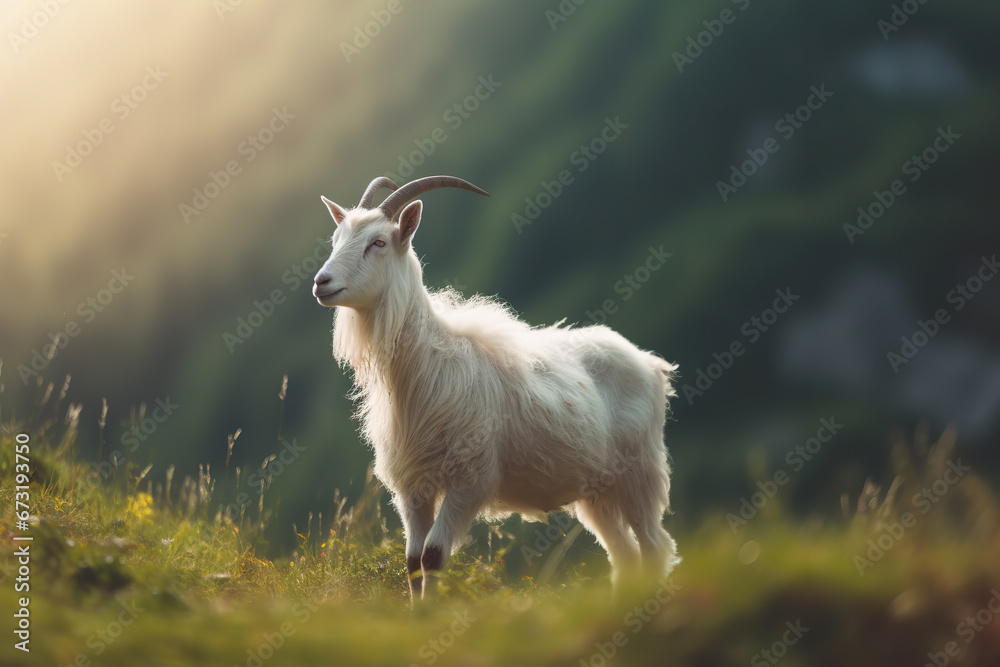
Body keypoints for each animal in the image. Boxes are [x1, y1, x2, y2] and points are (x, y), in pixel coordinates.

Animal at [313, 175, 679, 600]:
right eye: (336, 239)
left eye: (378, 242)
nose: (321, 282)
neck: (426, 365)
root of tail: (648, 362)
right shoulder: (413, 487)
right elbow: (413, 562)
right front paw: (418, 613)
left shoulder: (469, 479)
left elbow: (432, 556)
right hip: (597, 492)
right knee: (626, 557)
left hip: (639, 473)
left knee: (654, 548)